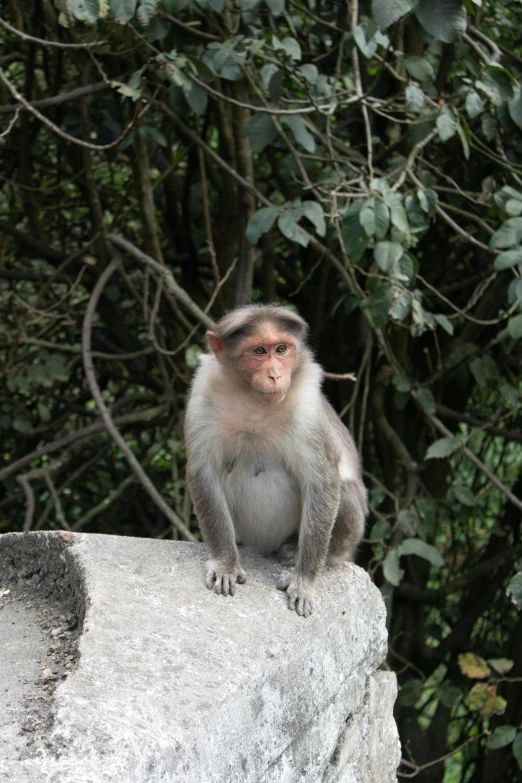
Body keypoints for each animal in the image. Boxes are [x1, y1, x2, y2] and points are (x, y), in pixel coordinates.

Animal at [184, 306, 366, 620]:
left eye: (281, 349)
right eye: (259, 351)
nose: (275, 375)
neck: (254, 401)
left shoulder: (308, 409)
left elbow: (323, 482)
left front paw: (303, 583)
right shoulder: (202, 396)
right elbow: (203, 473)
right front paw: (225, 564)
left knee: (345, 492)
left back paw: (302, 552)